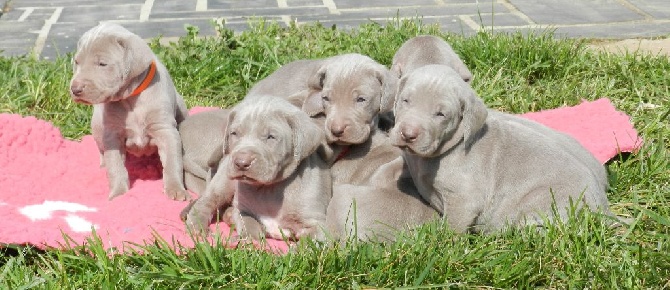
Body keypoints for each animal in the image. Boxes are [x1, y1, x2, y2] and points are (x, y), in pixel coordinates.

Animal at [70, 22, 190, 201]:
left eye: (102, 64)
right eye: (77, 62)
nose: (75, 89)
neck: (130, 99)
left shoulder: (165, 130)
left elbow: (173, 161)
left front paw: (176, 190)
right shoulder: (112, 135)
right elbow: (115, 167)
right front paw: (118, 194)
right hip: (97, 126)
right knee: (101, 150)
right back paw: (102, 163)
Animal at [185, 95, 332, 240]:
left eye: (271, 137)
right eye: (234, 133)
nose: (241, 162)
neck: (269, 189)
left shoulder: (318, 224)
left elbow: (310, 241)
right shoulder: (243, 210)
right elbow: (249, 226)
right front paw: (249, 240)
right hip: (223, 182)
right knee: (207, 201)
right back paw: (197, 226)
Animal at [388, 64, 616, 232]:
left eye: (441, 114)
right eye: (406, 100)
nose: (408, 134)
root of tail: (603, 206)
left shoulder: (464, 200)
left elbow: (452, 229)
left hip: (543, 202)